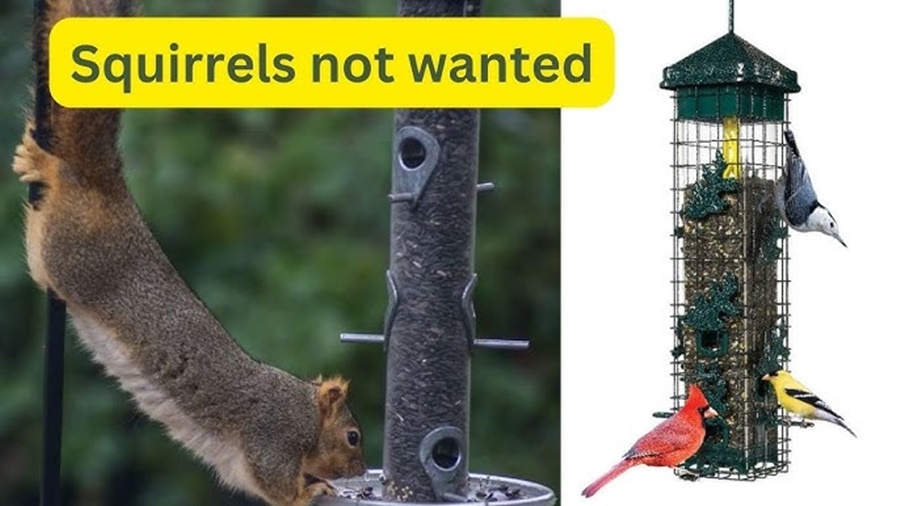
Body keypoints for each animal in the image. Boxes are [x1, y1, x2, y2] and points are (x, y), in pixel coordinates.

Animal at [11, 1, 366, 505]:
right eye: (352, 436)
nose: (363, 470)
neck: (301, 408)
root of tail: (110, 190)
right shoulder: (273, 435)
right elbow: (277, 485)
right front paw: (315, 490)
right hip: (72, 256)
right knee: (63, 192)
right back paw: (50, 165)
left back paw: (37, 158)